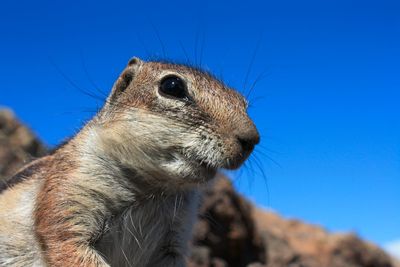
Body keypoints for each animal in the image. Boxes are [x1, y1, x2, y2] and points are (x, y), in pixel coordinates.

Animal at [0, 57, 260, 266]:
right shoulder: (68, 198)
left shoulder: (175, 242)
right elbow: (65, 241)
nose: (252, 139)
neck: (153, 188)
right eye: (172, 86)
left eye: (243, 103)